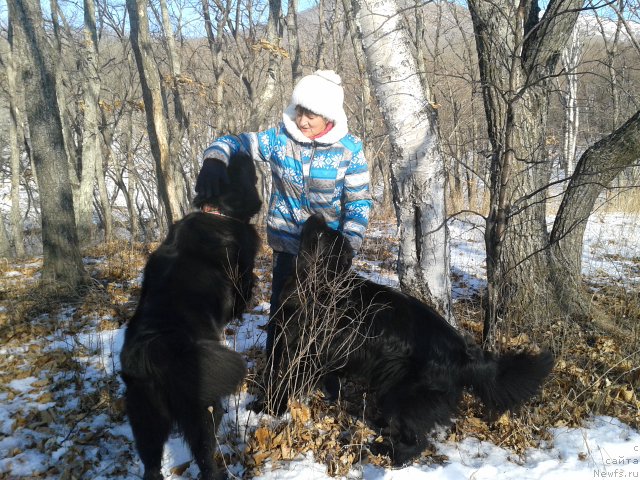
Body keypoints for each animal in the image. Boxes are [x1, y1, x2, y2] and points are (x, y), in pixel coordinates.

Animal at [119, 152, 262, 478]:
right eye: (237, 170)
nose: (241, 151)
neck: (218, 212)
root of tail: (151, 352)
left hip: (145, 420)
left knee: (151, 463)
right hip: (203, 408)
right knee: (205, 456)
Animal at [266, 214, 556, 464]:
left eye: (322, 234)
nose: (317, 215)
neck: (321, 284)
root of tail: (463, 353)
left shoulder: (306, 355)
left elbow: (285, 384)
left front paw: (270, 408)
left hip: (403, 394)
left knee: (417, 440)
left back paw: (388, 453)